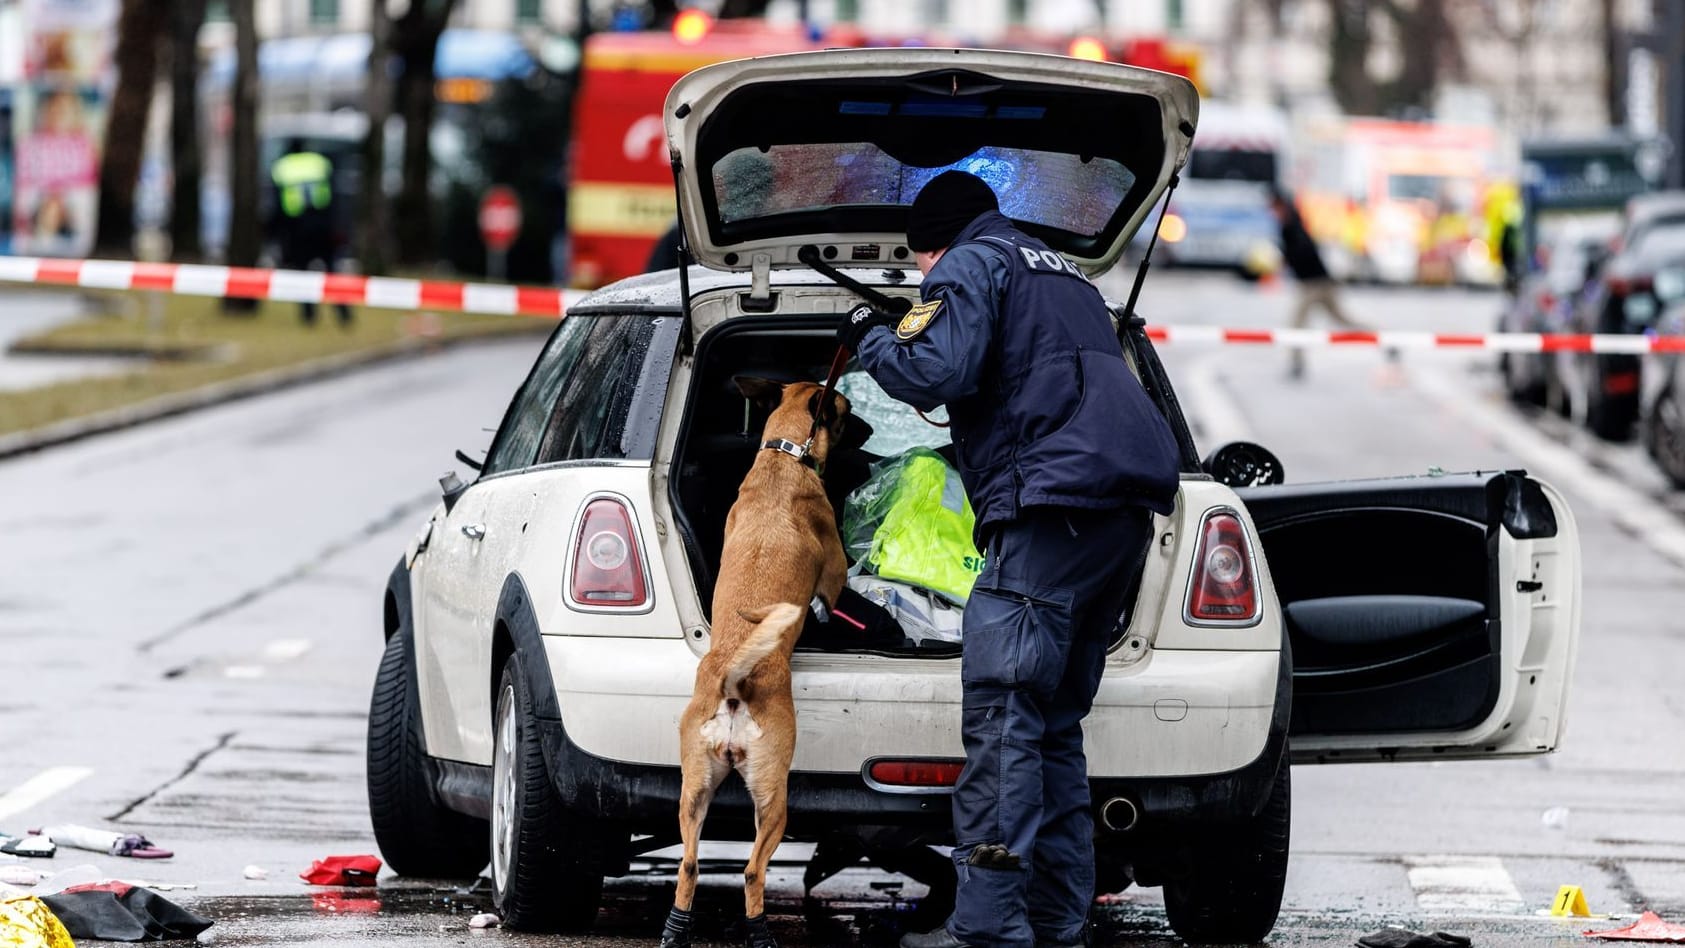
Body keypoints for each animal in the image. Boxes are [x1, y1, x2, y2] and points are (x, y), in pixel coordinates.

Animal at [657, 378, 862, 948]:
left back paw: (676, 930)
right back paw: (759, 932)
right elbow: (835, 586)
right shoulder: (834, 574)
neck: (783, 457)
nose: (868, 431)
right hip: (774, 799)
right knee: (751, 870)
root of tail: (734, 679)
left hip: (694, 792)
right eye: (845, 410)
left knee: (688, 865)